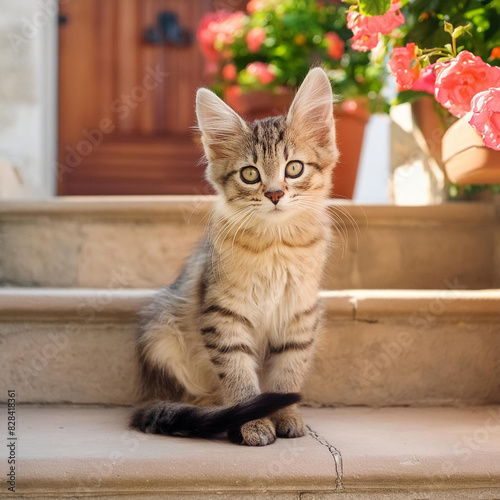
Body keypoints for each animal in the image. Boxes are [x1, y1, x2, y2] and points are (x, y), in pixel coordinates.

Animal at [131, 66, 338, 446]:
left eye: (294, 168)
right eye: (250, 174)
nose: (274, 194)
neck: (275, 246)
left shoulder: (300, 316)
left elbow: (288, 374)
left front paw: (285, 415)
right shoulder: (223, 316)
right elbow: (239, 378)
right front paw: (252, 420)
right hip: (161, 333)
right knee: (192, 397)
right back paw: (216, 414)